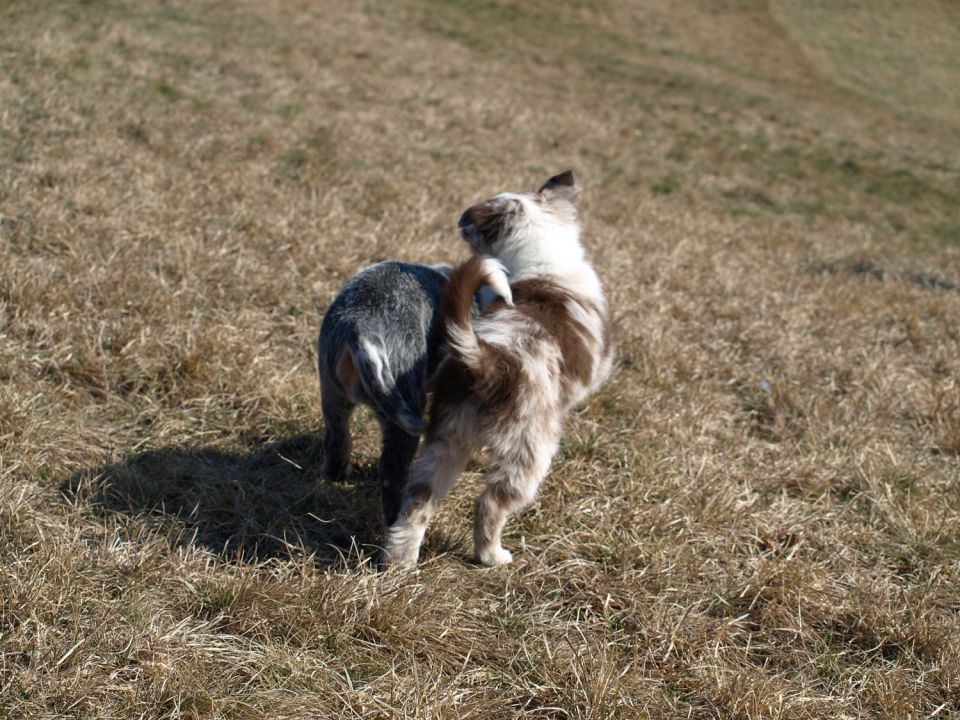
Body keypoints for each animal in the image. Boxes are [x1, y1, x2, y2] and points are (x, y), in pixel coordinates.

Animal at [316, 262, 450, 524]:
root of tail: (361, 327)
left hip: (332, 394)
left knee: (337, 439)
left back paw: (336, 475)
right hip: (404, 408)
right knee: (392, 472)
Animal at [382, 170, 616, 568]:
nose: (459, 219)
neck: (543, 260)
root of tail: (488, 360)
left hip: (446, 439)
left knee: (417, 504)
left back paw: (400, 564)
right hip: (530, 450)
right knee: (490, 504)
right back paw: (493, 556)